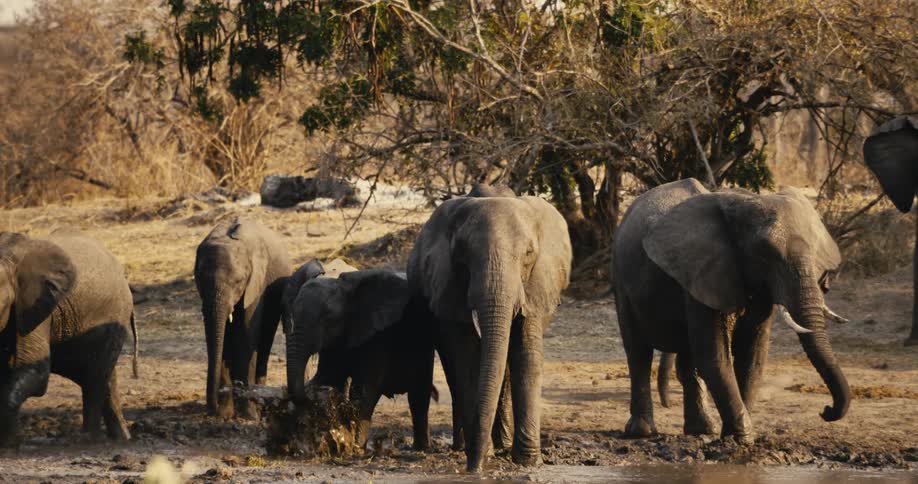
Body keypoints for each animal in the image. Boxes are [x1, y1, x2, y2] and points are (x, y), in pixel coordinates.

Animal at [0, 229, 139, 446]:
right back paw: (121, 439)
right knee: (105, 377)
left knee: (94, 378)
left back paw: (89, 439)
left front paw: (8, 447)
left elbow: (36, 372)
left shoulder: (36, 307)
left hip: (115, 315)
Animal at [194, 218, 291, 420]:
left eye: (238, 282)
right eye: (199, 279)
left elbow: (246, 335)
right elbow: (223, 339)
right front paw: (224, 415)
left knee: (266, 337)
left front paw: (249, 417)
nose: (211, 409)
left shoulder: (256, 284)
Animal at [284, 260, 439, 450]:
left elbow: (362, 391)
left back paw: (420, 448)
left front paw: (356, 447)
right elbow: (330, 377)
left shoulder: (377, 336)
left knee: (419, 395)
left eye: (327, 317)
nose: (306, 395)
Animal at [408, 195, 572, 471]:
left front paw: (528, 462)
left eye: (529, 254)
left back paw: (500, 446)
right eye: (462, 254)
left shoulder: (535, 286)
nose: (474, 468)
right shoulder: (450, 284)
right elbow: (467, 359)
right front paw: (482, 457)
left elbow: (526, 358)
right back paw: (467, 446)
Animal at [611, 178, 851, 443]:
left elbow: (752, 357)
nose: (826, 410)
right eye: (764, 256)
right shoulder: (707, 271)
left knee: (687, 360)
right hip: (621, 281)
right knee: (638, 354)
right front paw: (741, 439)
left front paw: (735, 436)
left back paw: (702, 429)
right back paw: (642, 432)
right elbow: (715, 356)